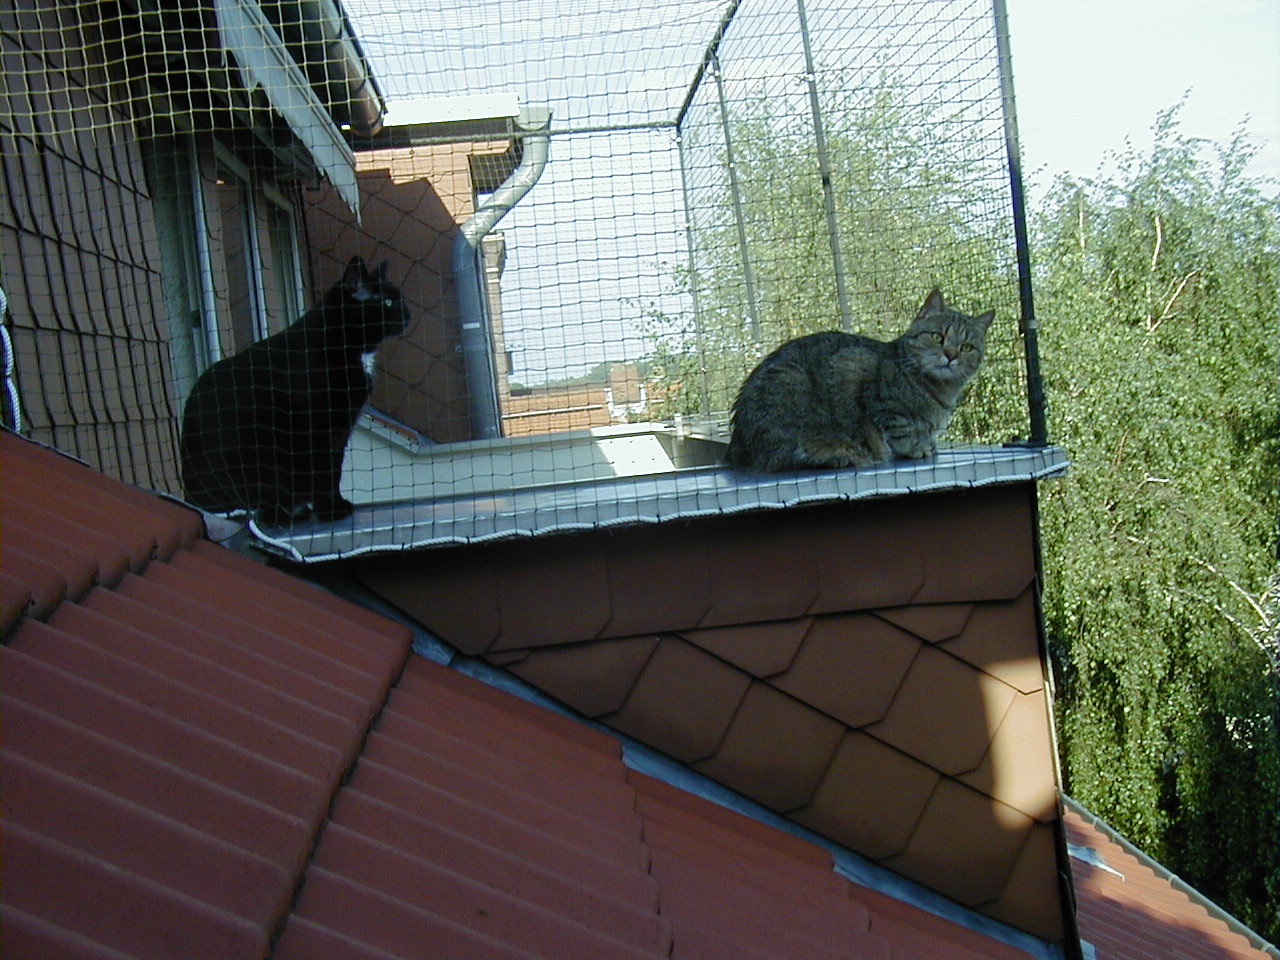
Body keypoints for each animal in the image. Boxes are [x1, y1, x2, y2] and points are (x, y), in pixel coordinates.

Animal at [180, 256, 407, 527]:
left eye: (400, 298)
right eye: (388, 301)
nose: (408, 314)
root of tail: (191, 496)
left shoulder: (340, 430)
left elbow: (335, 470)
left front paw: (334, 503)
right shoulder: (318, 428)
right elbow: (324, 472)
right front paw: (330, 510)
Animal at [727, 291, 993, 476]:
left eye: (966, 347)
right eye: (938, 337)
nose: (951, 355)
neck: (940, 390)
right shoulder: (862, 374)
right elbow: (900, 427)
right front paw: (914, 446)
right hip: (791, 385)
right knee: (784, 458)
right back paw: (838, 454)